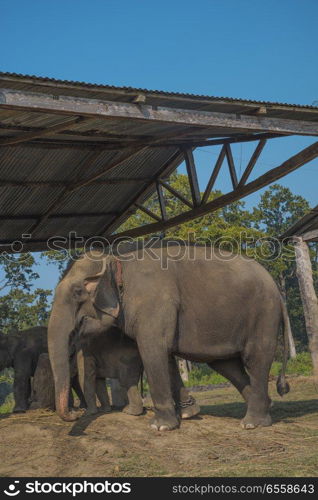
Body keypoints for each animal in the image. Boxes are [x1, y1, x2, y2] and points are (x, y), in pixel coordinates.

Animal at [47, 243, 290, 430]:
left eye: (78, 292)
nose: (75, 413)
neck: (116, 258)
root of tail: (277, 290)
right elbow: (168, 355)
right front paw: (189, 413)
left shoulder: (153, 301)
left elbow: (152, 350)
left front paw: (160, 426)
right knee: (227, 366)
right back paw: (267, 408)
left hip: (263, 313)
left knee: (256, 358)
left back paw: (252, 423)